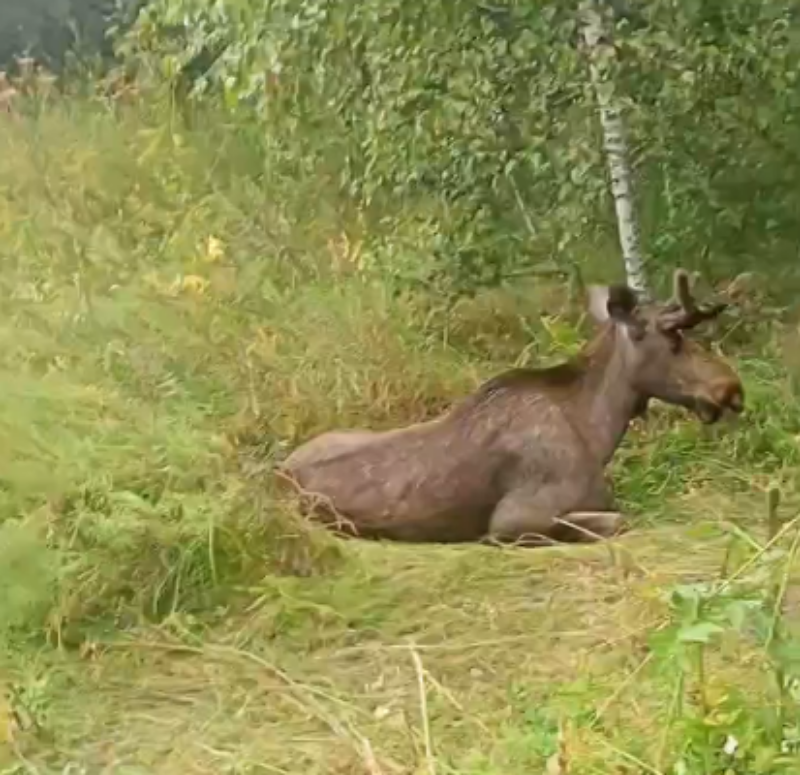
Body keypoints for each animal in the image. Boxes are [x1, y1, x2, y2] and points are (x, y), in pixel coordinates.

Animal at [282, 272, 744, 544]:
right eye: (674, 338)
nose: (731, 388)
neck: (597, 430)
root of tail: (279, 472)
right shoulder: (513, 516)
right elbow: (617, 520)